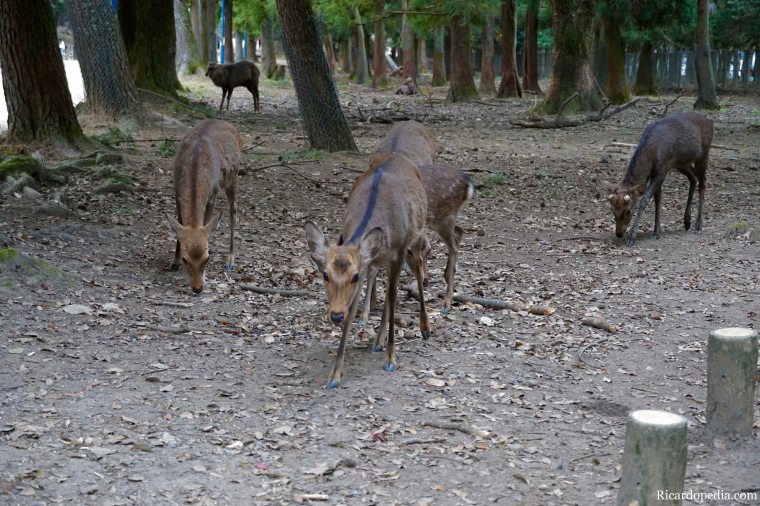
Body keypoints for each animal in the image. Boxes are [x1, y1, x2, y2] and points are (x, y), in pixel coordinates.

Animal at [166, 119, 243, 293]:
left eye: (207, 258)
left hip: (234, 176)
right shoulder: (176, 192)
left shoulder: (212, 195)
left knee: (233, 210)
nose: (197, 288)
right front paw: (174, 262)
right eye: (185, 259)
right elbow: (179, 225)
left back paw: (230, 260)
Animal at [304, 152, 430, 389]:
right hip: (379, 259)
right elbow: (353, 310)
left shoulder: (398, 253)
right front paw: (334, 375)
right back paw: (377, 340)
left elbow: (392, 297)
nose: (335, 315)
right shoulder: (366, 263)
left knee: (417, 271)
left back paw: (424, 327)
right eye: (325, 275)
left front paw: (391, 359)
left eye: (353, 276)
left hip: (416, 237)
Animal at [360, 121, 473, 321]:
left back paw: (447, 300)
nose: (424, 280)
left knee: (454, 244)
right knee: (459, 232)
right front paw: (372, 303)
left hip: (442, 216)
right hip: (443, 218)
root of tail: (468, 183)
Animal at [607, 111, 713, 247]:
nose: (619, 233)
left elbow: (645, 199)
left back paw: (698, 226)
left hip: (704, 154)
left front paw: (632, 237)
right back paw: (687, 221)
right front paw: (657, 232)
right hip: (681, 162)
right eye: (612, 211)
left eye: (628, 211)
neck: (652, 152)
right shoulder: (657, 172)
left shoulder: (661, 171)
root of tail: (710, 121)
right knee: (693, 178)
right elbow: (658, 199)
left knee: (703, 183)